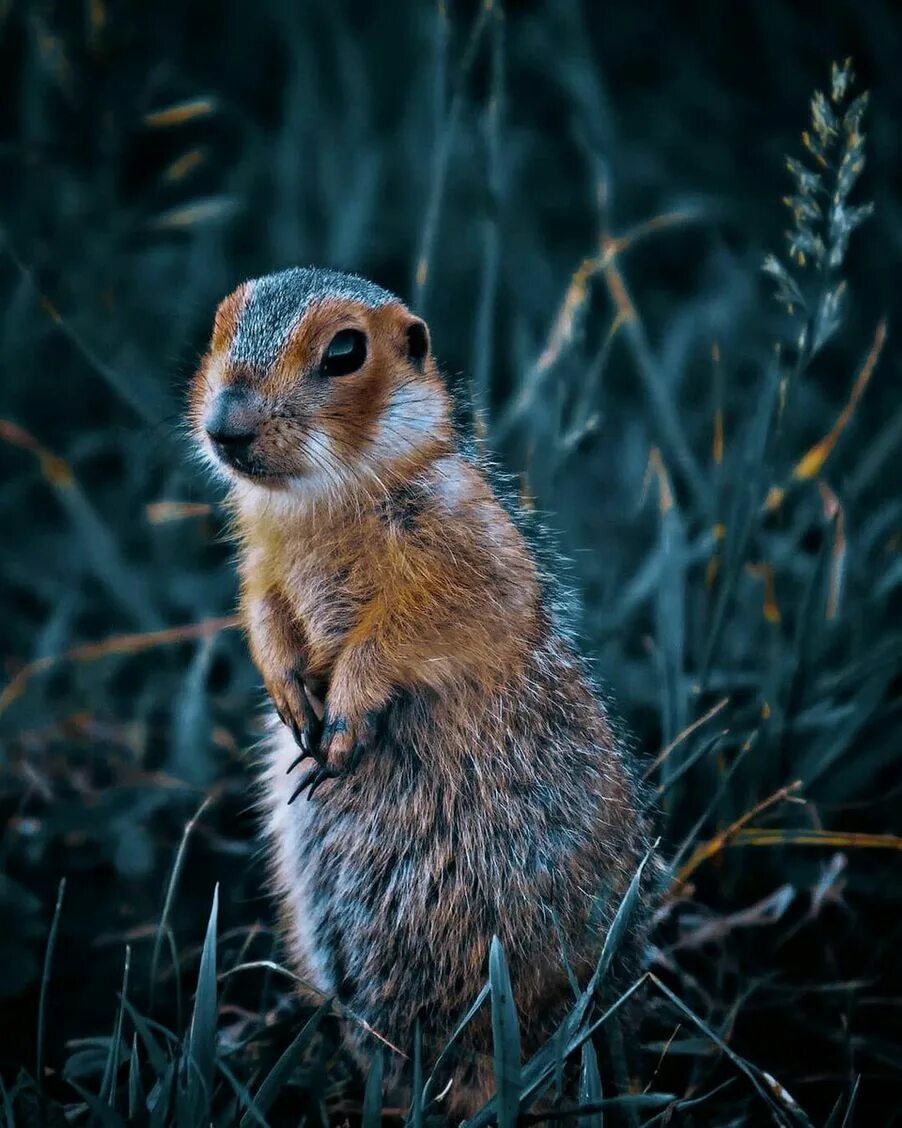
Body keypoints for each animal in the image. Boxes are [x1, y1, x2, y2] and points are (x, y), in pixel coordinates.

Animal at [190, 266, 653, 1118]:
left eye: (344, 351)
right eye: (218, 327)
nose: (224, 426)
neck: (316, 498)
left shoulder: (460, 545)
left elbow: (413, 628)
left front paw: (345, 717)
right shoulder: (261, 563)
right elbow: (263, 611)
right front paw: (290, 695)